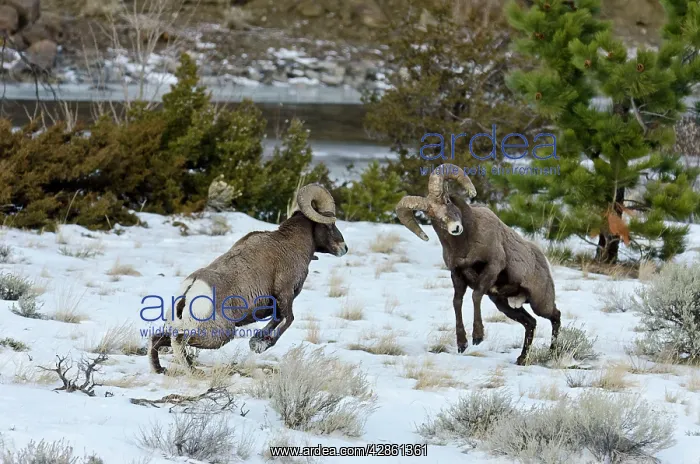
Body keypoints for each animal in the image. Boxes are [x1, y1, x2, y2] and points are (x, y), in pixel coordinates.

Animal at [148, 183, 348, 374]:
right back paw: (193, 371)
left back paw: (160, 369)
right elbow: (288, 319)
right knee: (179, 340)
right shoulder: (285, 293)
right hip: (221, 335)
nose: (344, 248)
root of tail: (190, 290)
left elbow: (278, 319)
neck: (290, 244)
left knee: (158, 338)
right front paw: (260, 345)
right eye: (330, 224)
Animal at [394, 163, 561, 365]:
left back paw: (552, 354)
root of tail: (542, 259)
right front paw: (462, 344)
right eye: (431, 214)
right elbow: (457, 302)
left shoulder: (492, 268)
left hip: (540, 303)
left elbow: (475, 296)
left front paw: (478, 337)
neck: (465, 246)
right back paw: (521, 359)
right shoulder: (457, 275)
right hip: (505, 305)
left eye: (447, 201)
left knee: (555, 316)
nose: (455, 228)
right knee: (531, 323)